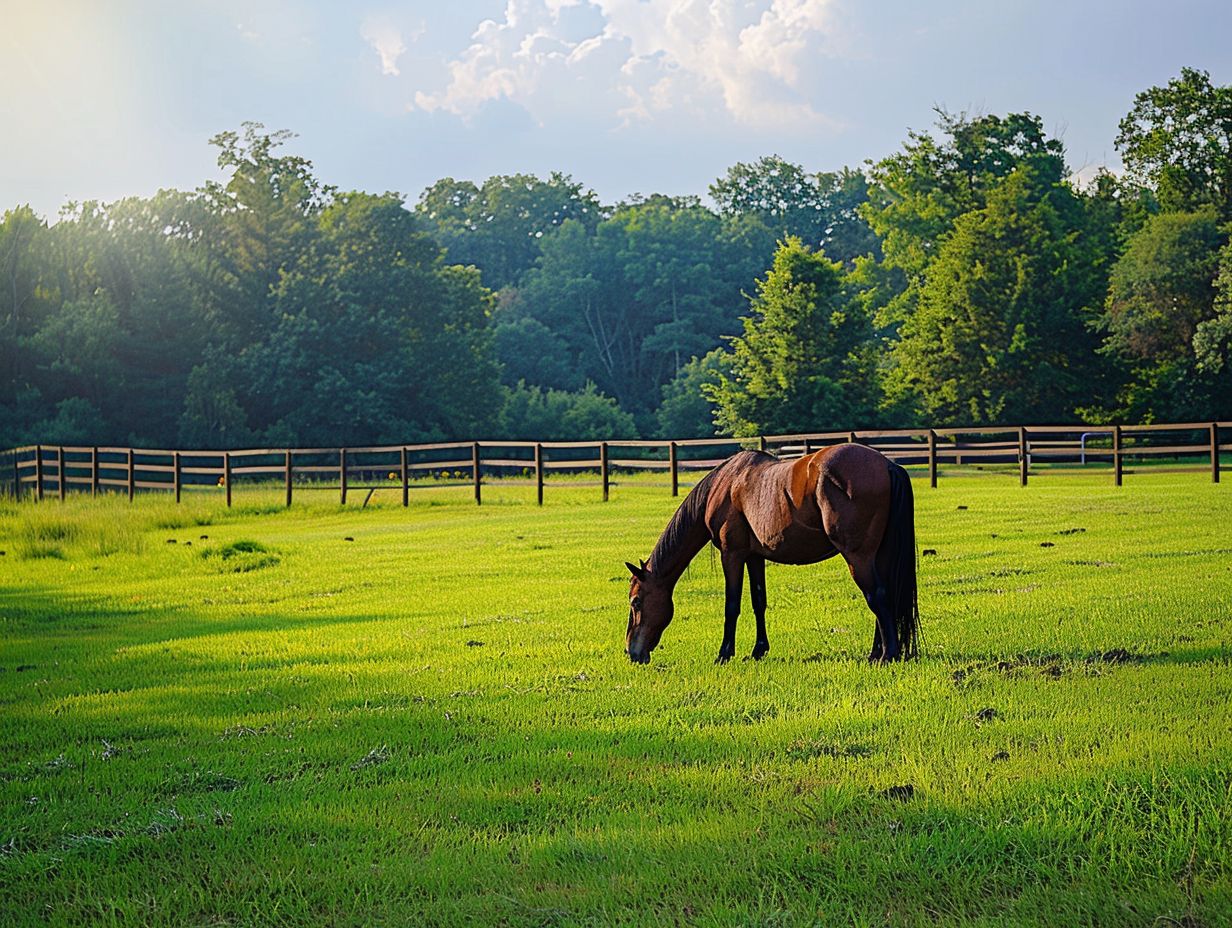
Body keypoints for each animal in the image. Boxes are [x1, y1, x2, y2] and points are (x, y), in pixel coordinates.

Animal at [625, 443, 916, 665]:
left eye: (636, 602)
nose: (631, 652)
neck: (724, 485)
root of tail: (887, 464)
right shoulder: (754, 557)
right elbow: (758, 602)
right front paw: (758, 650)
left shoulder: (732, 554)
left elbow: (732, 605)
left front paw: (724, 654)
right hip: (879, 555)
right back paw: (876, 652)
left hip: (859, 557)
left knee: (877, 595)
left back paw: (888, 655)